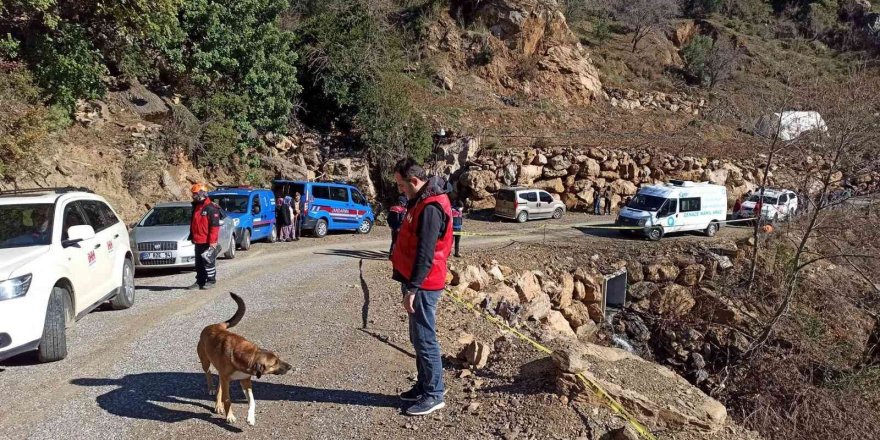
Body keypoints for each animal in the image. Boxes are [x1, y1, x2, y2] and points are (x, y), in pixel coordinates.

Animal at [197, 294, 290, 424]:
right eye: (274, 363)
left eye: (278, 359)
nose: (290, 367)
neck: (248, 355)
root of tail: (215, 325)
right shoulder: (227, 380)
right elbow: (227, 399)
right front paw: (230, 416)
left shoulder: (245, 380)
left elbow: (252, 401)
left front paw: (250, 418)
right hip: (205, 362)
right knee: (208, 372)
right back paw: (211, 389)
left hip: (221, 374)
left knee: (219, 384)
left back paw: (218, 405)